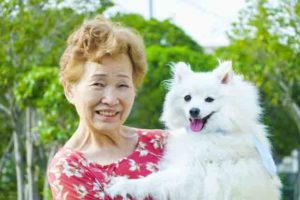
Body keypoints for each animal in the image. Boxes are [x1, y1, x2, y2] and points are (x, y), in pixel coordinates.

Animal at [107, 61, 282, 199]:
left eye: (209, 99)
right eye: (187, 98)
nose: (194, 111)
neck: (210, 133)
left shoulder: (191, 173)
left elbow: (153, 180)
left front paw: (122, 184)